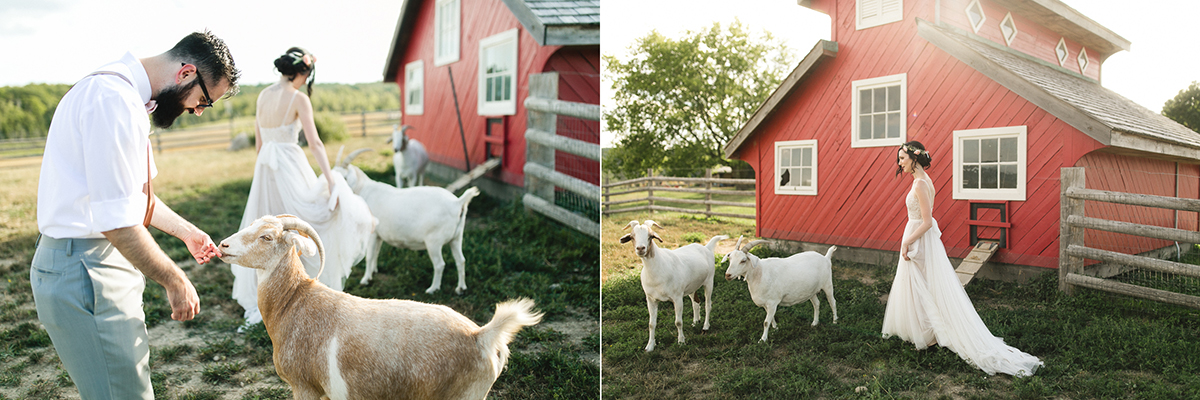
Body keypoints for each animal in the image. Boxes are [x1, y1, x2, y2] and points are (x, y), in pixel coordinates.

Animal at [336, 147, 480, 294]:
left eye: (344, 178)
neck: (363, 191)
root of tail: (457, 202)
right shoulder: (379, 236)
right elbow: (376, 253)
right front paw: (374, 272)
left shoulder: (373, 233)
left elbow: (369, 256)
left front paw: (365, 280)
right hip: (456, 237)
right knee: (461, 260)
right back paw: (460, 288)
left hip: (434, 241)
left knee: (440, 264)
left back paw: (432, 289)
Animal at [624, 219, 724, 350]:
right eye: (632, 237)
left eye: (651, 236)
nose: (640, 248)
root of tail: (706, 247)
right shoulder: (650, 299)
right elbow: (651, 324)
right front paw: (650, 346)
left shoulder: (677, 298)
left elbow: (678, 322)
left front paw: (681, 342)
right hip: (691, 286)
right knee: (696, 302)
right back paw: (695, 322)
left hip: (709, 281)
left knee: (708, 304)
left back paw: (705, 327)